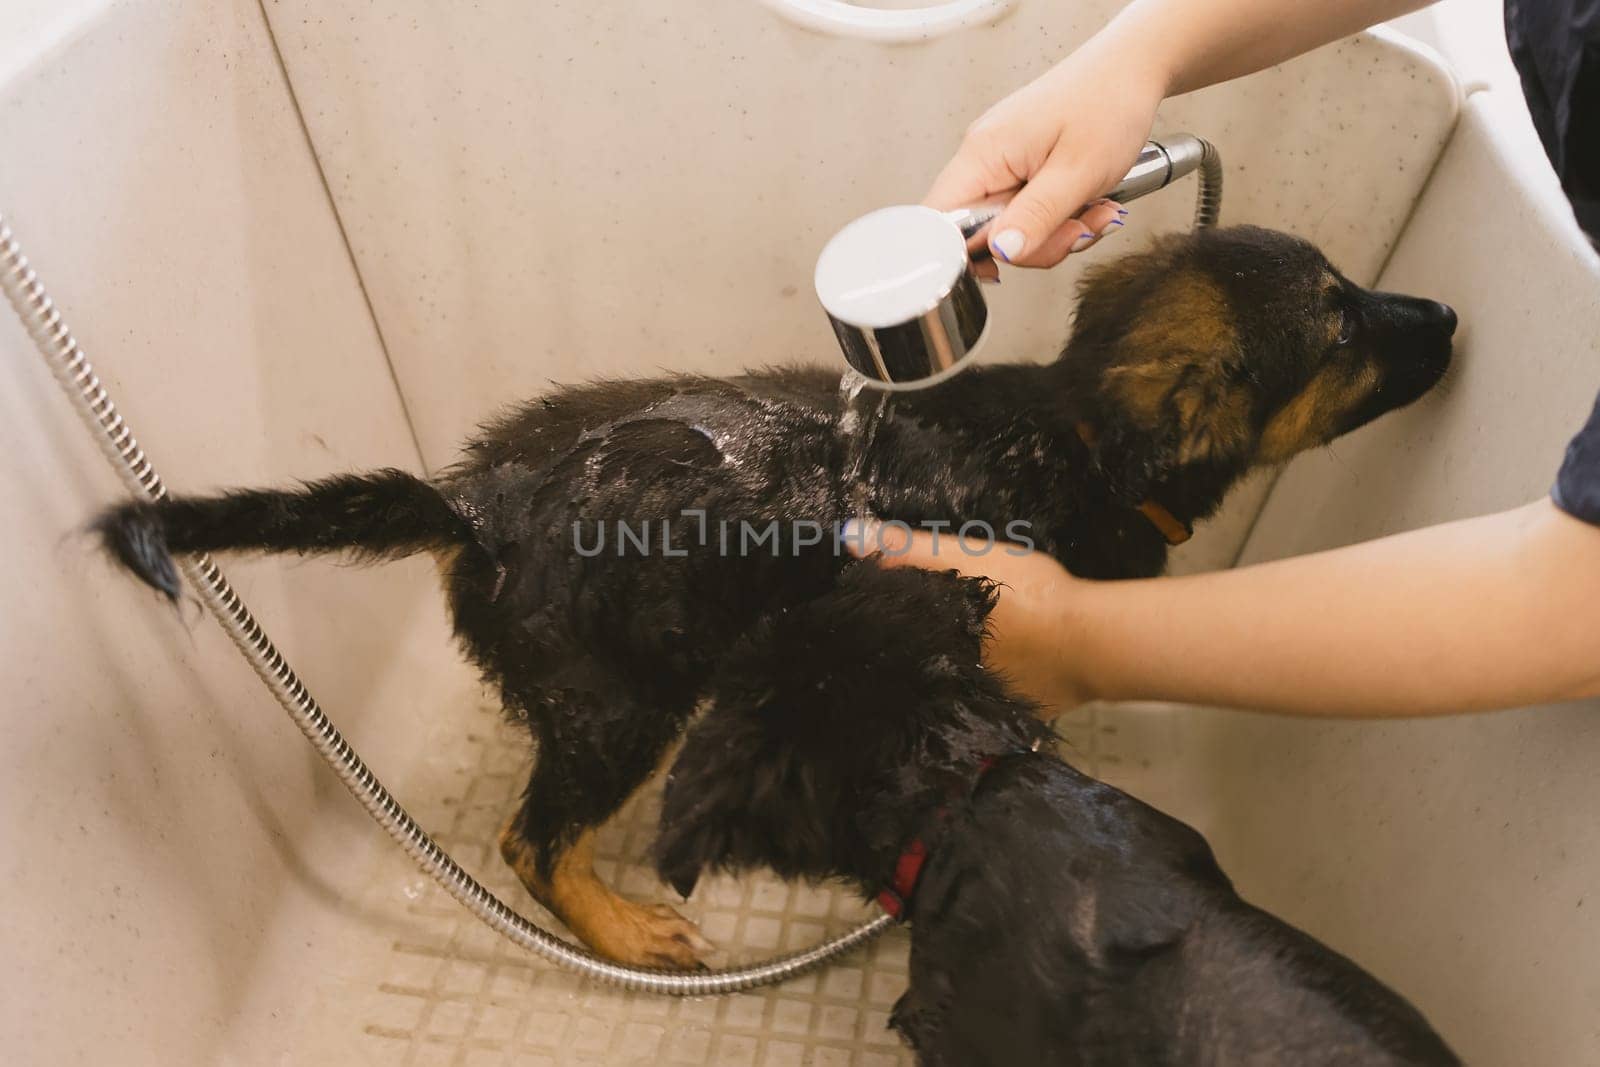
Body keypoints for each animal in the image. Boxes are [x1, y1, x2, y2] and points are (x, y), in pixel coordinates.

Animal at [93, 225, 1459, 966]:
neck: (1075, 433)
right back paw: (618, 924)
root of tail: (478, 505)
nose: (1447, 311)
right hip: (626, 700)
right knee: (531, 840)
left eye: (1352, 291)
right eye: (1339, 329)